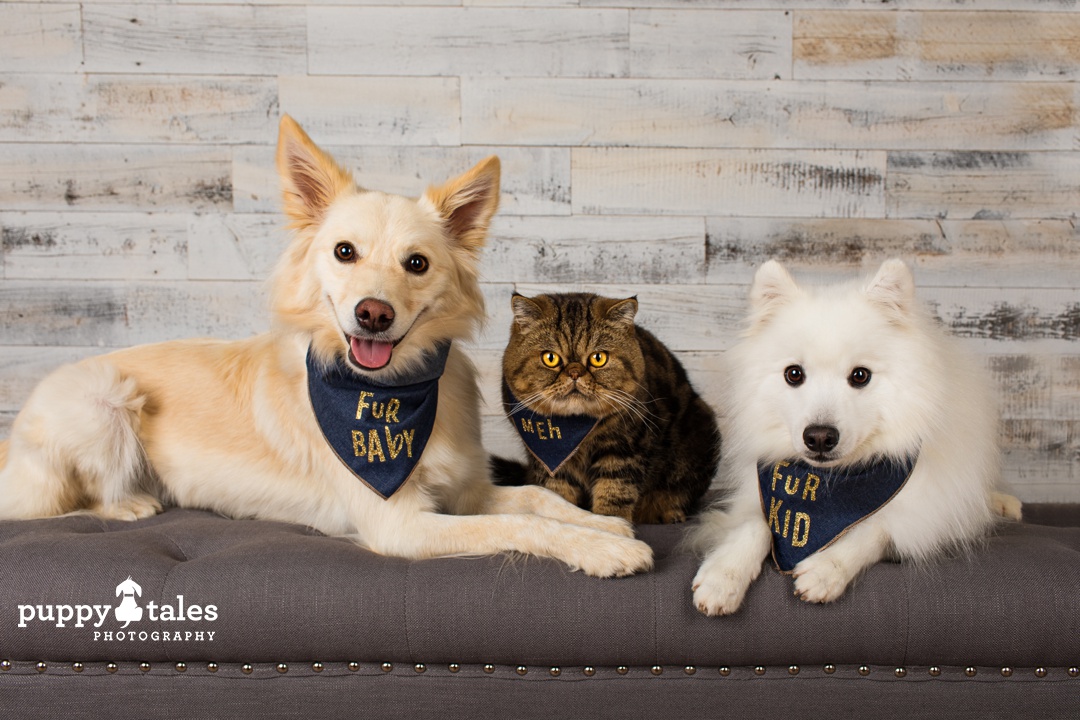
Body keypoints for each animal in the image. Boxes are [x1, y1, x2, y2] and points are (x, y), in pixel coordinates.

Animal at [0, 118, 648, 578]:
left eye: (417, 264)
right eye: (344, 252)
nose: (373, 314)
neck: (390, 393)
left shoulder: (468, 490)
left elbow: (537, 501)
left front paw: (600, 525)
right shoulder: (401, 525)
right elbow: (517, 529)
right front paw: (602, 551)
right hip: (104, 400)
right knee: (64, 503)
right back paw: (130, 503)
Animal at [494, 293, 717, 524]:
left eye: (598, 358)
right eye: (550, 358)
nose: (575, 373)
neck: (575, 431)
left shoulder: (625, 451)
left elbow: (614, 494)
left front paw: (612, 525)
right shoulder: (548, 462)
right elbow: (557, 496)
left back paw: (670, 512)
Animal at [691, 262, 1019, 617]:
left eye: (860, 375)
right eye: (794, 374)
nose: (819, 437)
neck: (828, 484)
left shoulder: (924, 515)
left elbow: (871, 529)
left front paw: (826, 569)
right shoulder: (760, 496)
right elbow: (754, 526)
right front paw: (722, 576)